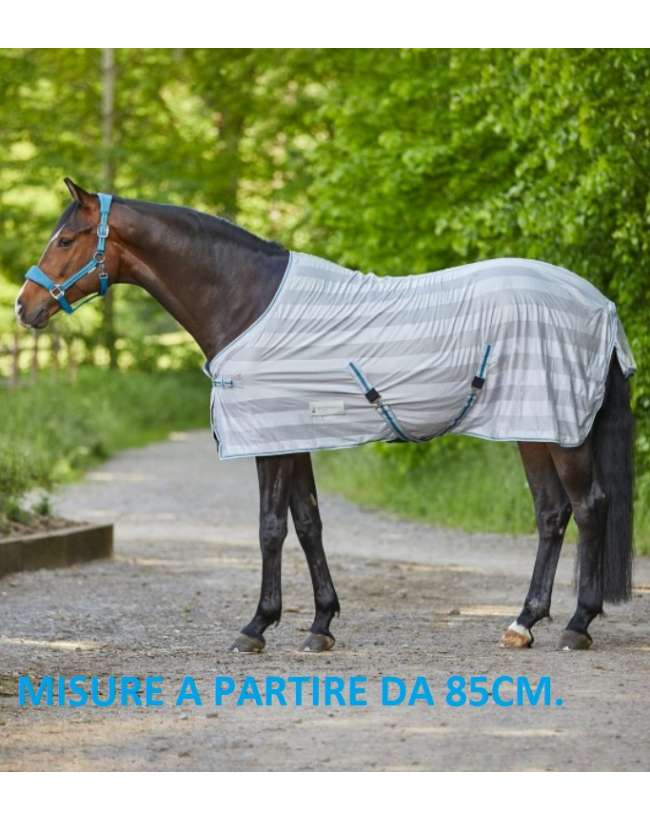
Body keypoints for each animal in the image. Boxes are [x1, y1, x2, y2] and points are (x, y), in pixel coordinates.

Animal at [14, 178, 635, 653]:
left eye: (65, 238)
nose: (24, 306)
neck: (245, 300)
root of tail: (598, 303)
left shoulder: (269, 438)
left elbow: (270, 528)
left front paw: (256, 628)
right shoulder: (294, 437)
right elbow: (308, 523)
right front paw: (320, 625)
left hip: (561, 431)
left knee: (589, 506)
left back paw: (577, 625)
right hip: (534, 427)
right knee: (552, 514)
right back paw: (523, 624)